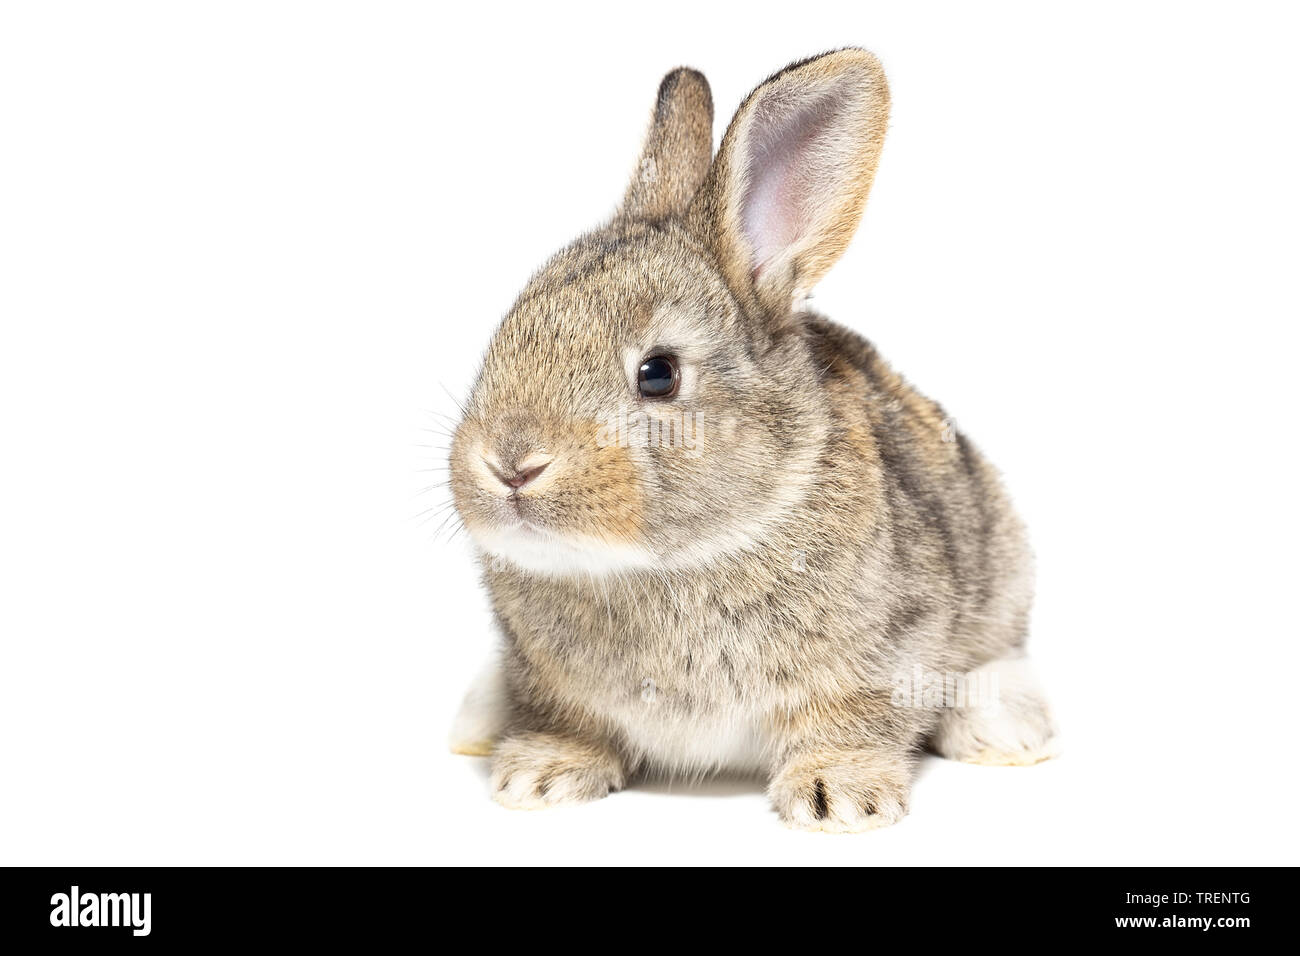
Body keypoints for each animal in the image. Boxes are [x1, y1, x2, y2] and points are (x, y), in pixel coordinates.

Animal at [447, 50, 1055, 832]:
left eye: (658, 373)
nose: (509, 464)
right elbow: (568, 721)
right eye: (505, 333)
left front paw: (840, 798)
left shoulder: (882, 659)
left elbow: (853, 721)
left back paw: (1003, 730)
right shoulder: (550, 681)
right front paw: (541, 776)